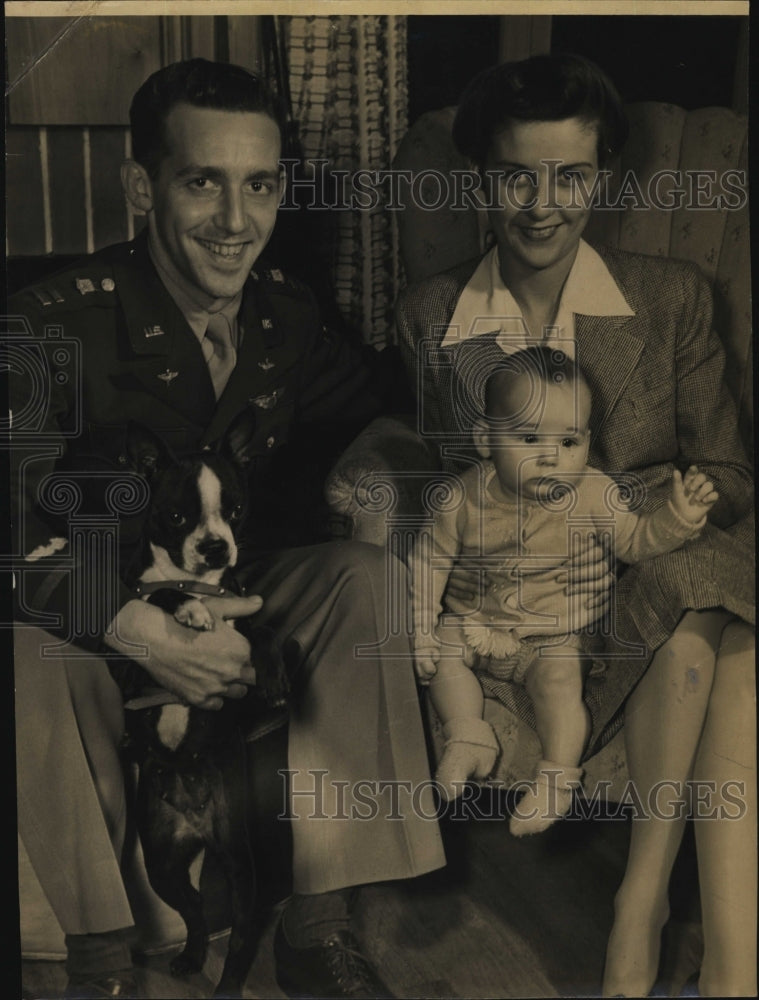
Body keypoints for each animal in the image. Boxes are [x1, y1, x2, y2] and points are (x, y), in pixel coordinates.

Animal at [114, 420, 290, 1000]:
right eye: (175, 517)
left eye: (235, 510)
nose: (215, 547)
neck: (204, 584)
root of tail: (194, 818)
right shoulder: (130, 645)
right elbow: (157, 595)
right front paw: (188, 609)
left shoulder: (246, 619)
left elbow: (265, 629)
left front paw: (275, 677)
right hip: (161, 861)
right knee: (192, 910)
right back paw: (192, 956)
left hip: (237, 862)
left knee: (237, 936)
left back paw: (227, 984)